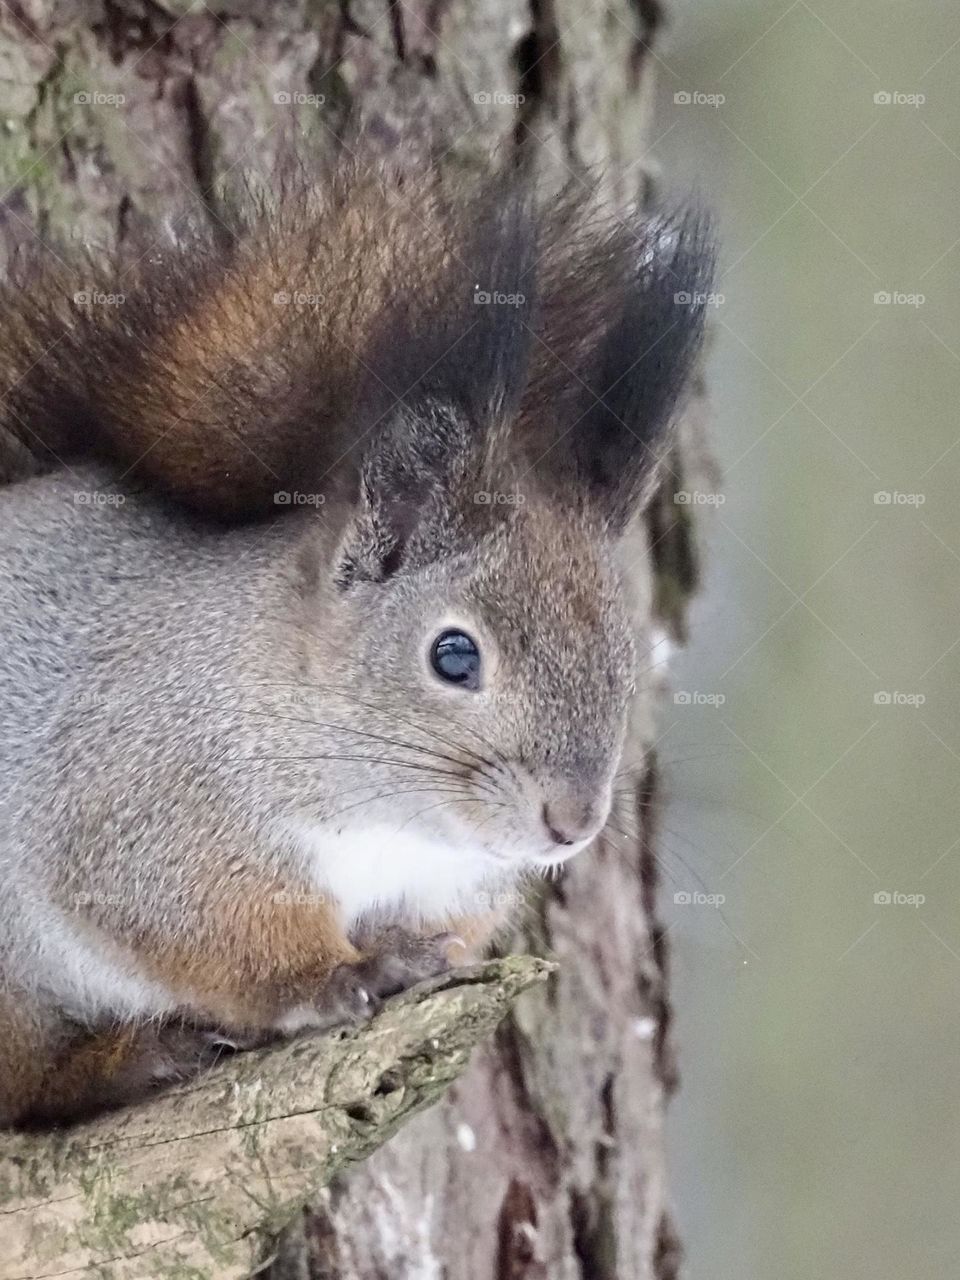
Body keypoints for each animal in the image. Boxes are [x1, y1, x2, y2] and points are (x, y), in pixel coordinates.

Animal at [0, 160, 714, 1128]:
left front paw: (408, 955)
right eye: (454, 656)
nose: (572, 825)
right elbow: (202, 930)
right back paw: (126, 1060)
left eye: (624, 664)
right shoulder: (145, 809)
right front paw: (334, 977)